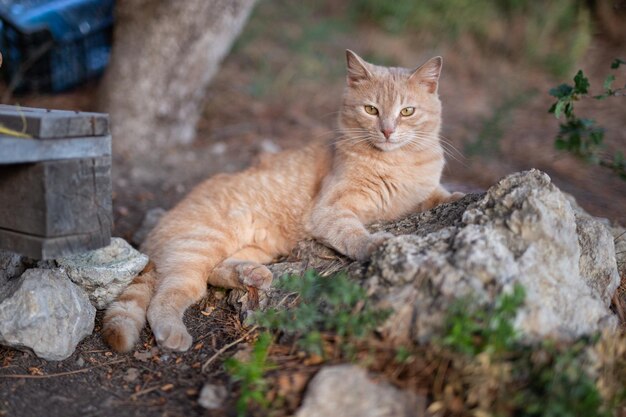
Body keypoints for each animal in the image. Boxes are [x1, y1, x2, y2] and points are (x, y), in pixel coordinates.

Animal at [102, 50, 460, 352]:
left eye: (407, 111)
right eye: (371, 110)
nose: (387, 131)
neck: (397, 163)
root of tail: (151, 235)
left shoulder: (420, 192)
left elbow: (437, 195)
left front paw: (457, 196)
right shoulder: (330, 210)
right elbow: (355, 234)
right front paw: (375, 244)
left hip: (254, 247)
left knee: (214, 273)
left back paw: (251, 275)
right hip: (199, 244)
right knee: (169, 296)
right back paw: (174, 332)